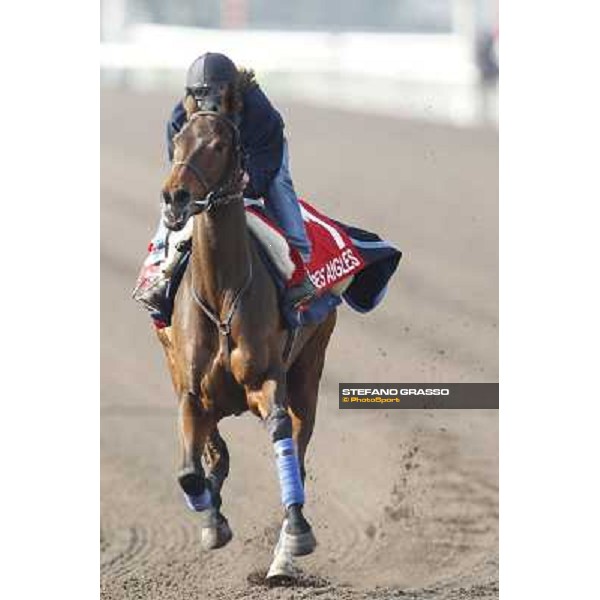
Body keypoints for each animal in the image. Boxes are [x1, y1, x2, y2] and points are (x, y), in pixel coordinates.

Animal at [155, 111, 338, 576]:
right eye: (178, 139)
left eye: (220, 145)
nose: (175, 195)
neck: (222, 293)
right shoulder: (190, 390)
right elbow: (191, 470)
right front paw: (211, 520)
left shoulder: (266, 379)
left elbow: (279, 431)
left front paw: (296, 535)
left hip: (310, 367)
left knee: (298, 449)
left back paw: (283, 556)